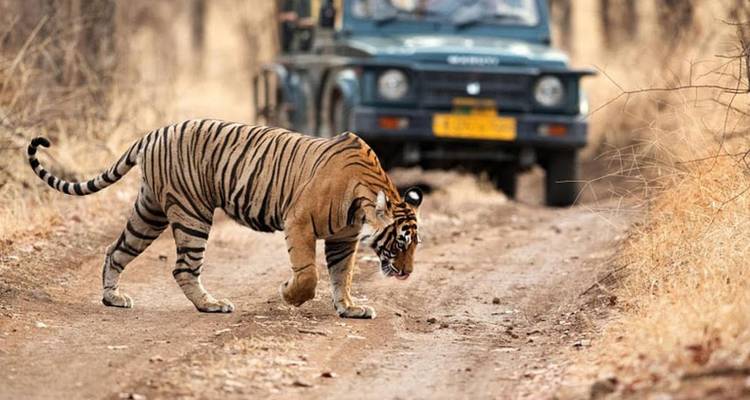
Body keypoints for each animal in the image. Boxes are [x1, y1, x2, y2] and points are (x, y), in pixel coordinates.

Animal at [26, 119, 423, 319]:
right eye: (400, 242)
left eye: (415, 244)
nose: (407, 274)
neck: (363, 198)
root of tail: (153, 133)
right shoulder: (298, 222)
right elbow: (309, 274)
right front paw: (289, 294)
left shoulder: (344, 238)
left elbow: (343, 275)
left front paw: (350, 308)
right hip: (192, 213)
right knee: (183, 268)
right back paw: (211, 305)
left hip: (149, 212)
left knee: (116, 250)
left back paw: (113, 298)